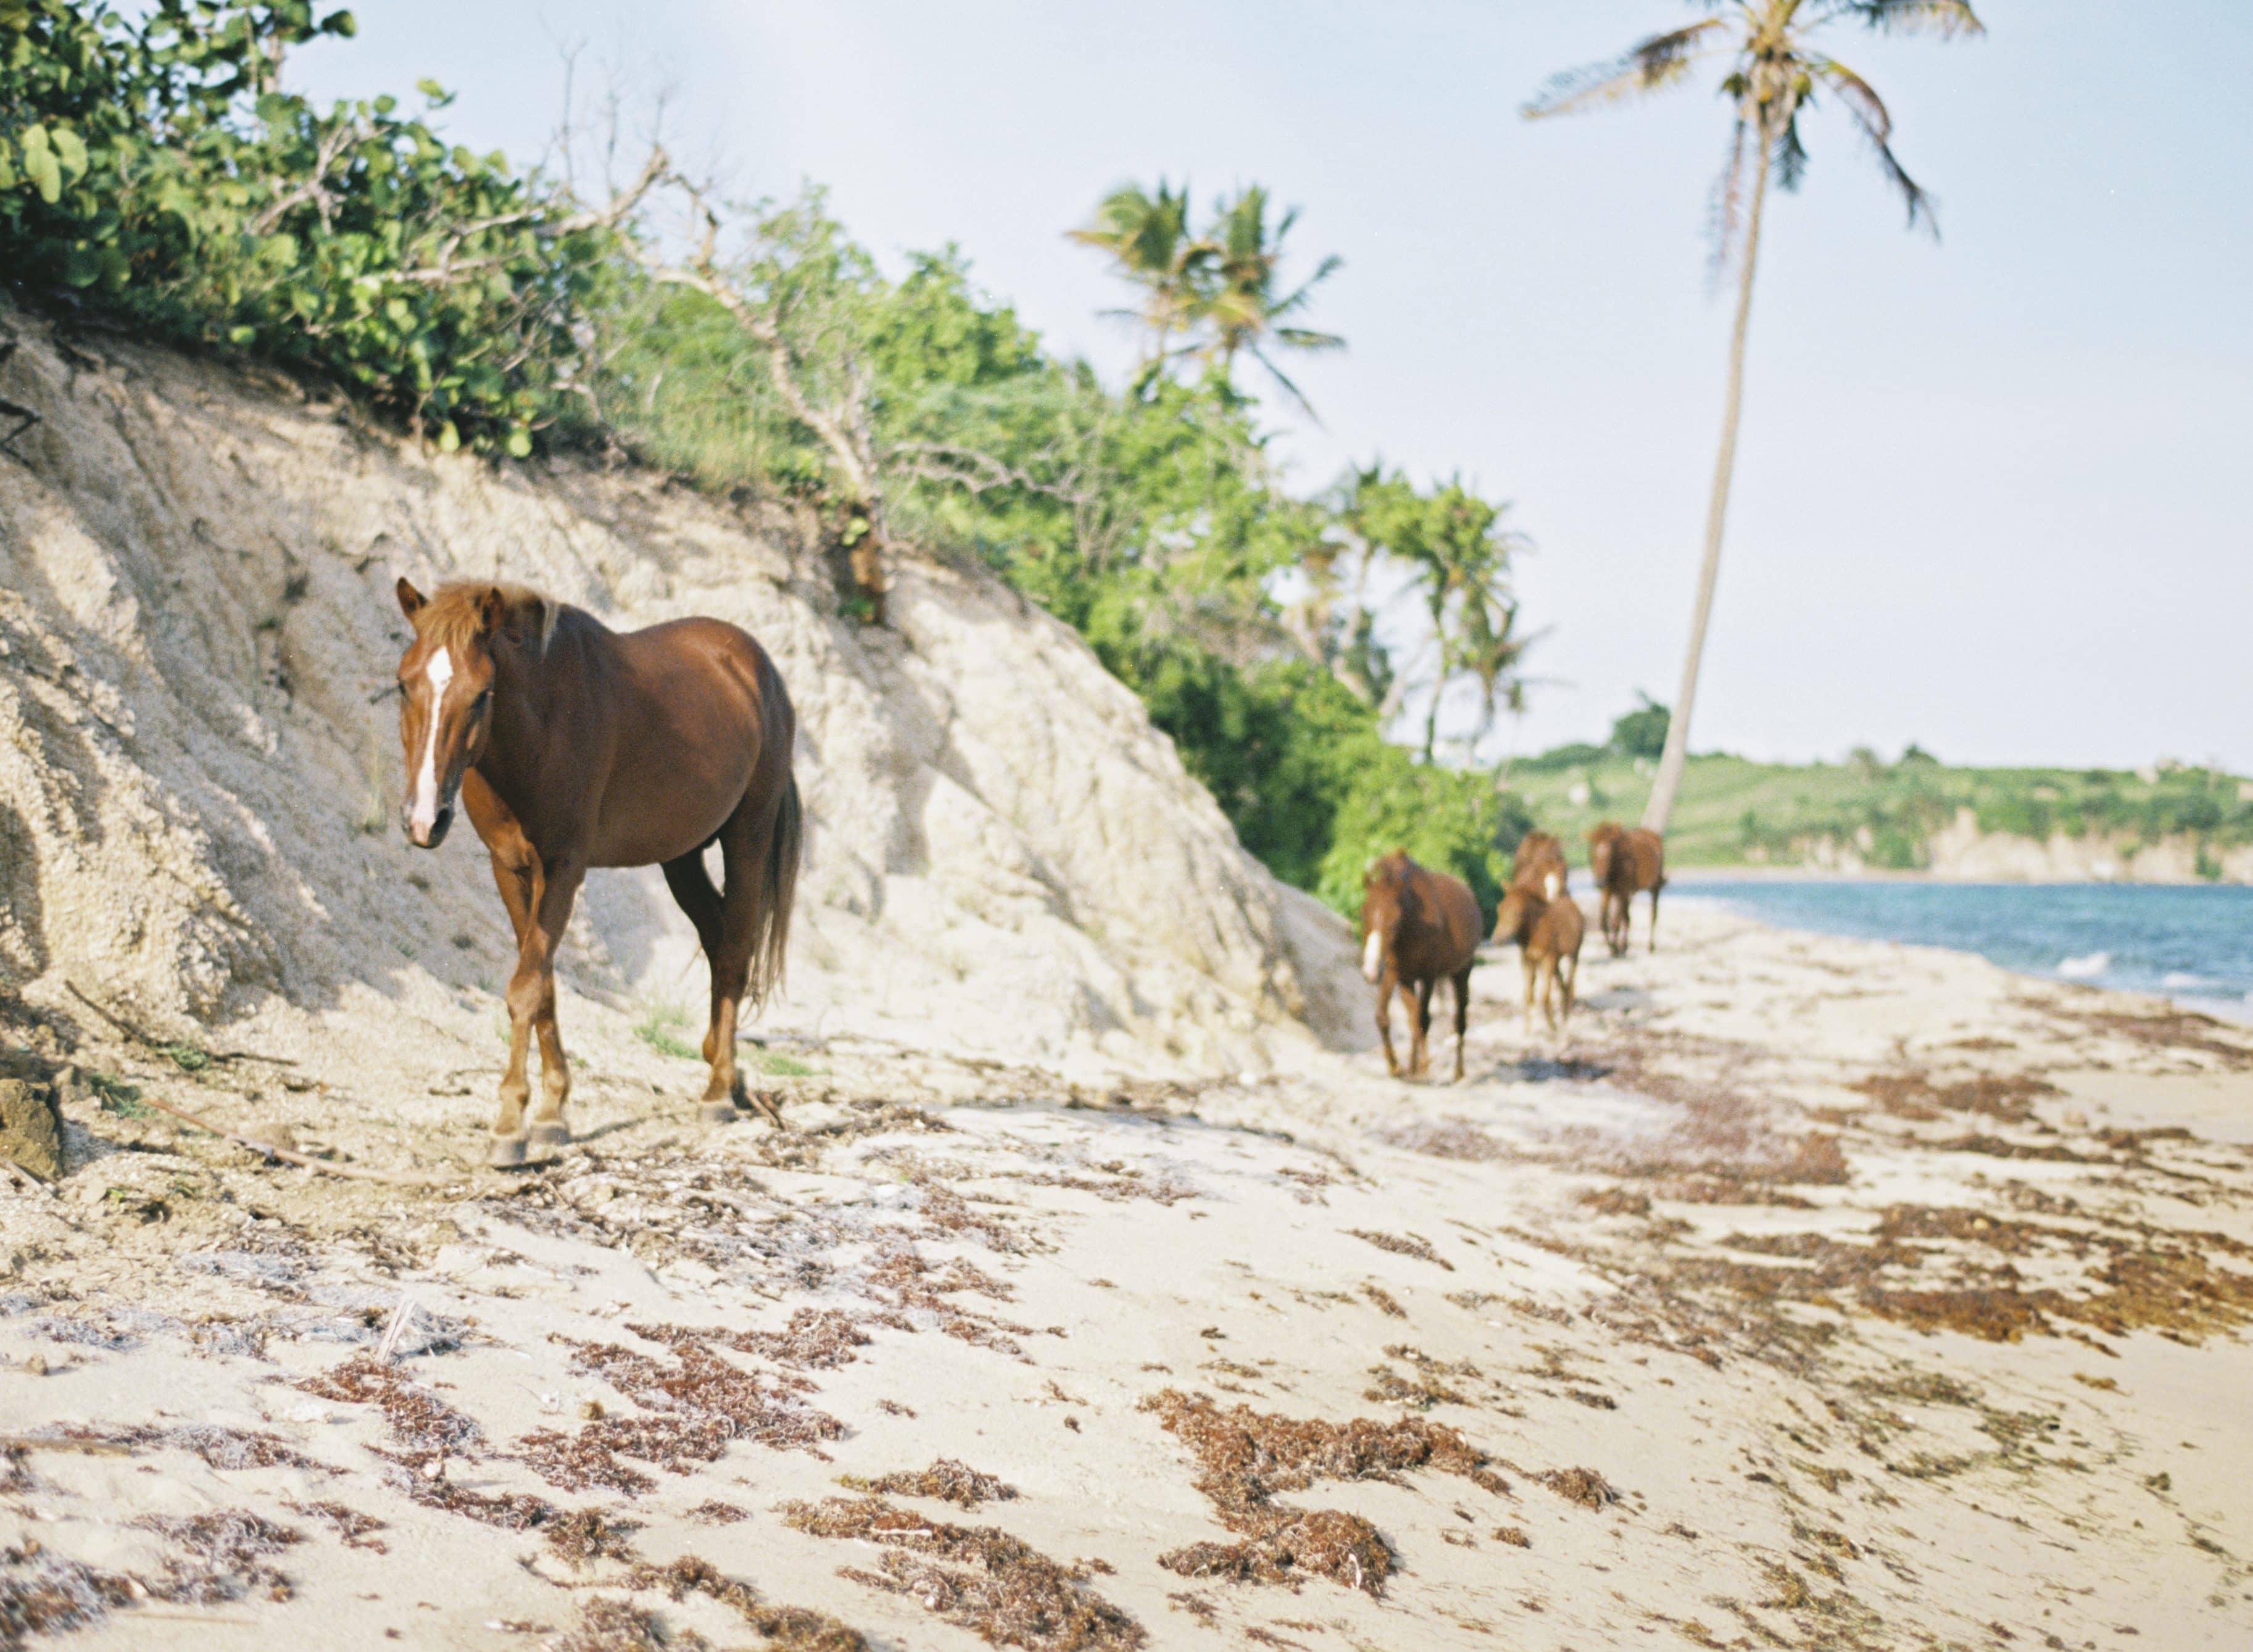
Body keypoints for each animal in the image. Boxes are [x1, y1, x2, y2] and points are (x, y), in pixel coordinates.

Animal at [392, 579, 802, 1165]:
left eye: (482, 694)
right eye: (403, 685)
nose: (424, 819)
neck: (540, 725)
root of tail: (759, 669)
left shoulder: (563, 870)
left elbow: (526, 987)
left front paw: (510, 1125)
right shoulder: (509, 869)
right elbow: (543, 988)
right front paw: (551, 1112)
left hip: (746, 838)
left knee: (733, 954)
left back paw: (719, 1091)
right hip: (681, 856)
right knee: (717, 938)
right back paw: (728, 1069)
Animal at [1359, 849, 1482, 1082]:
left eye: (1395, 921)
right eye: (1364, 914)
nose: (1371, 972)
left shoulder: (1428, 976)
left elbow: (1423, 1018)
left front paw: (1422, 1066)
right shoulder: (1394, 975)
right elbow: (1384, 1017)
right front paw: (1395, 1067)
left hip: (1462, 972)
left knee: (1459, 1020)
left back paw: (1458, 1071)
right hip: (1409, 980)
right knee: (1413, 1017)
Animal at [1493, 881, 1585, 1038]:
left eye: (1517, 913)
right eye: (1499, 909)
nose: (1497, 939)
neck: (1535, 932)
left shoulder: (1548, 959)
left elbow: (1544, 995)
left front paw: (1552, 1026)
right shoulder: (1528, 961)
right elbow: (1529, 994)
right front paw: (1527, 1029)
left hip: (1573, 955)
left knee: (1570, 982)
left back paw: (1566, 1015)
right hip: (1556, 962)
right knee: (1562, 983)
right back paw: (1564, 1012)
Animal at [1587, 821, 1665, 957]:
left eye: (1609, 855)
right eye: (1592, 853)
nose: (1599, 882)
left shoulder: (1622, 892)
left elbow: (1616, 923)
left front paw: (1615, 948)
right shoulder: (1608, 892)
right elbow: (1604, 922)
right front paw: (1614, 948)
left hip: (1654, 887)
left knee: (1653, 915)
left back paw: (1650, 946)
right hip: (1629, 893)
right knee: (1627, 917)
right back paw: (1625, 945)